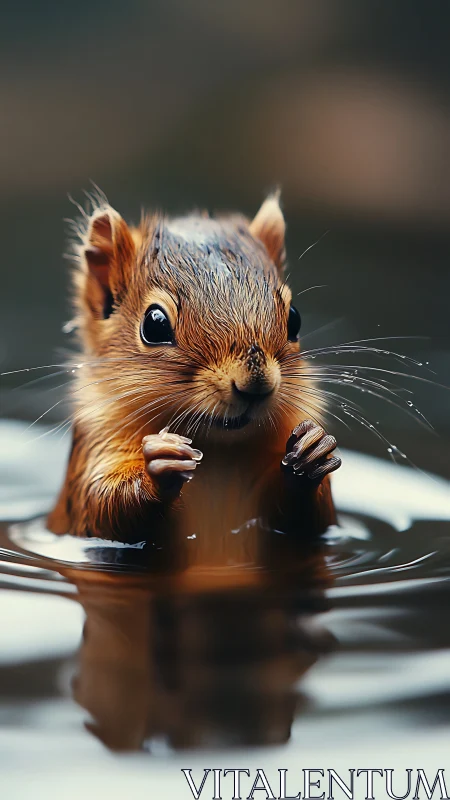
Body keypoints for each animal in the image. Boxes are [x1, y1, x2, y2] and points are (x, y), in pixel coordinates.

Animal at [47, 193, 341, 547]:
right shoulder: (95, 442)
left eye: (294, 318)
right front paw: (159, 466)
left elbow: (312, 521)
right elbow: (100, 505)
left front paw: (312, 452)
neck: (218, 447)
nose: (255, 384)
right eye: (154, 324)